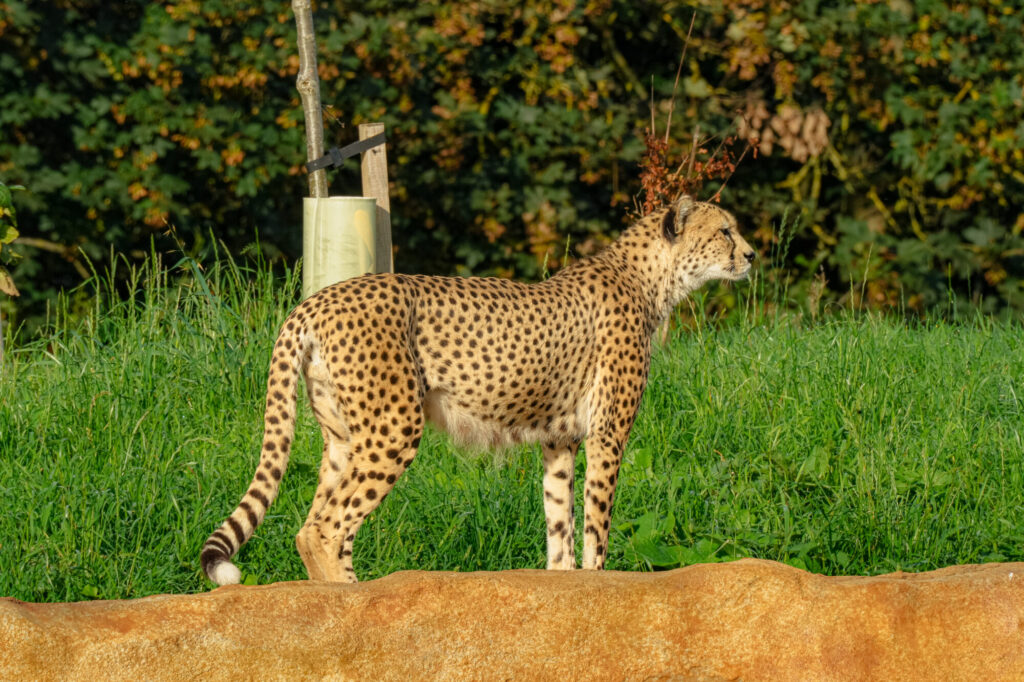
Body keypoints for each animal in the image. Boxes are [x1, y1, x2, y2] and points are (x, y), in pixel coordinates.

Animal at [201, 194, 755, 585]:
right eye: (724, 230)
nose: (751, 254)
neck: (651, 278)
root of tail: (316, 300)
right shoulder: (607, 435)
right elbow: (597, 525)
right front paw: (599, 584)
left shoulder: (559, 440)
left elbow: (560, 526)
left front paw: (566, 586)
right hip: (394, 428)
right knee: (324, 528)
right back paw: (349, 605)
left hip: (342, 439)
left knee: (314, 524)